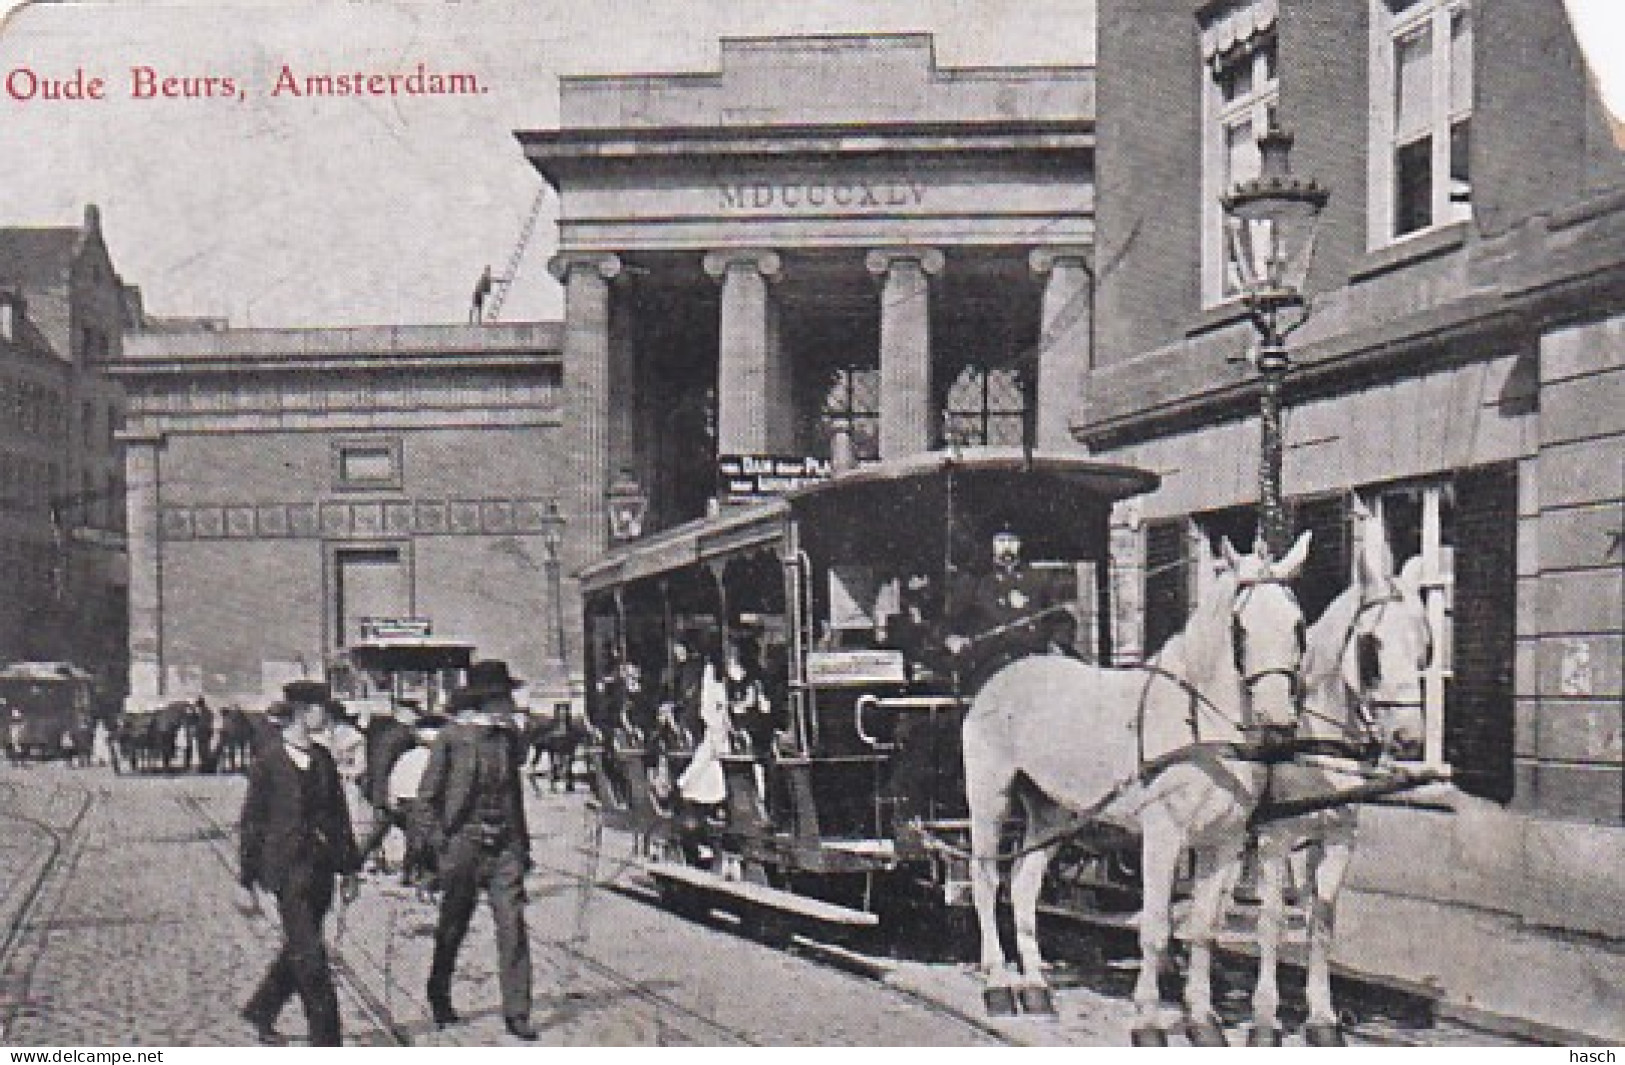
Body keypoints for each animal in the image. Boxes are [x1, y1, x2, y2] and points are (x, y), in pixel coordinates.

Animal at [955, 530, 1313, 1047]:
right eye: (1239, 628)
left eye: (1298, 625)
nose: (1278, 722)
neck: (1200, 722)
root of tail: (1001, 676)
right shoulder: (1163, 834)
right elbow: (1156, 928)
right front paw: (1147, 1022)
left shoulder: (1223, 841)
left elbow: (1203, 929)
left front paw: (1204, 1022)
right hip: (990, 796)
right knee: (985, 879)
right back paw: (999, 985)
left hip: (1052, 811)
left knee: (1023, 883)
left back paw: (1037, 988)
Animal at [1241, 504, 1436, 1047]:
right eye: (1371, 646)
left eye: (1427, 648)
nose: (1410, 740)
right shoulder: (1275, 837)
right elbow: (1269, 918)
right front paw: (1265, 1017)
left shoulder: (1335, 839)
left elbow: (1322, 919)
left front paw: (1323, 1016)